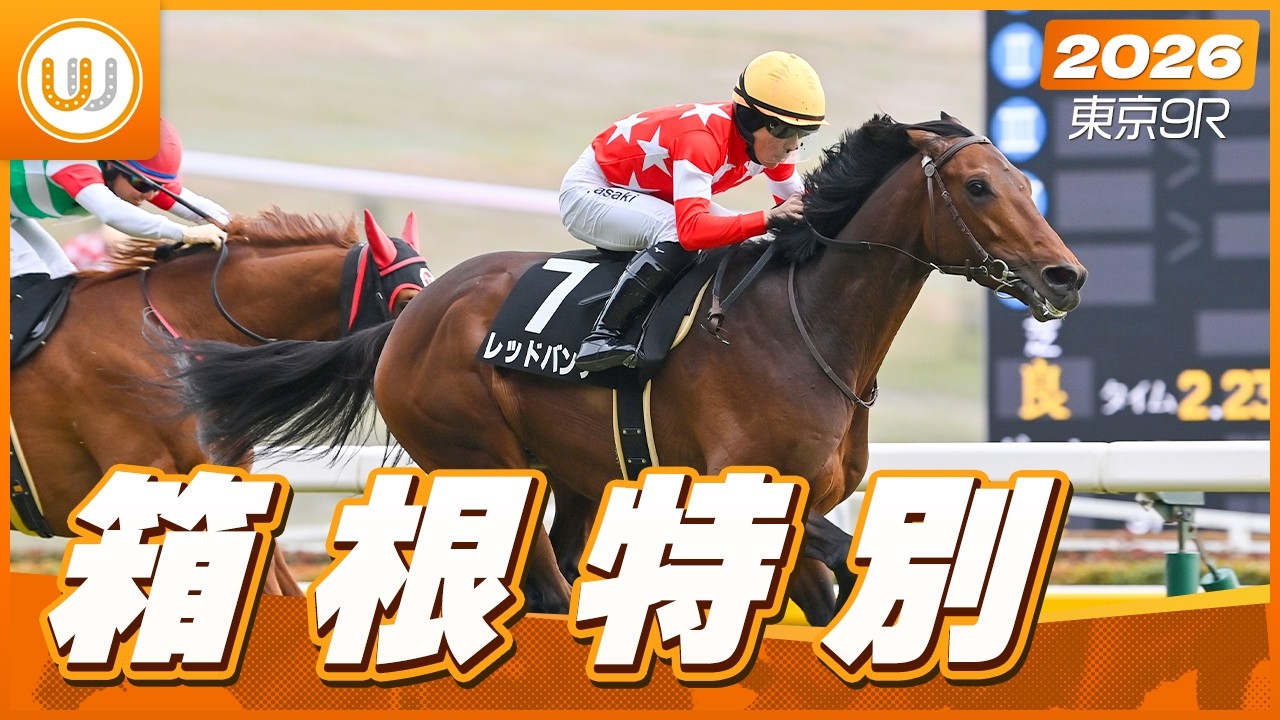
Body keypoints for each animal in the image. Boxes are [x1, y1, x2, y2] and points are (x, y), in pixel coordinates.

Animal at [171, 114, 1086, 622]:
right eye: (978, 186)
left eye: (1023, 180)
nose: (1064, 276)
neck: (809, 328)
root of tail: (410, 317)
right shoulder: (747, 488)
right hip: (482, 462)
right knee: (541, 591)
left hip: (574, 478)